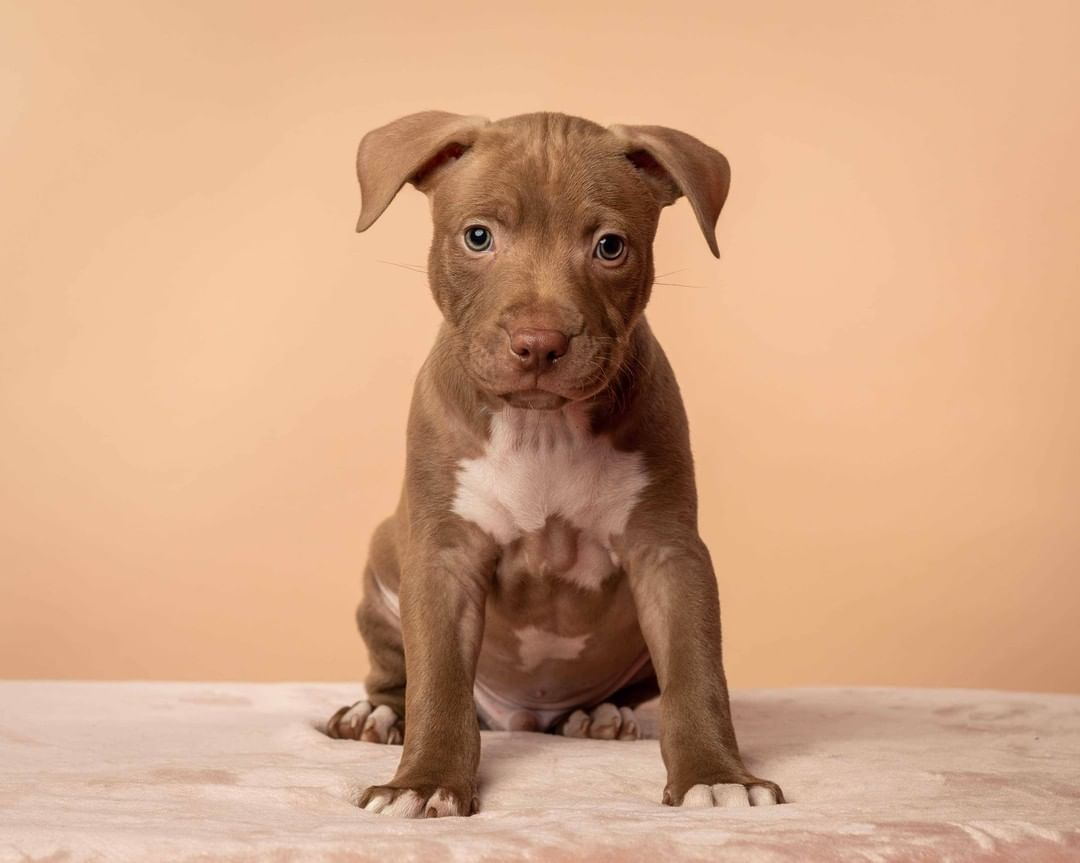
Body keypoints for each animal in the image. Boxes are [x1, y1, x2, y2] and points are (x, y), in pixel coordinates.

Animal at [326, 108, 786, 816]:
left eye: (609, 247)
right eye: (478, 237)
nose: (539, 343)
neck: (539, 429)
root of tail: (522, 717)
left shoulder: (670, 555)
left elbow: (696, 674)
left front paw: (716, 775)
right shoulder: (442, 558)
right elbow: (438, 682)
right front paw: (423, 783)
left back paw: (599, 716)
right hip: (383, 559)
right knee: (396, 670)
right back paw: (376, 714)